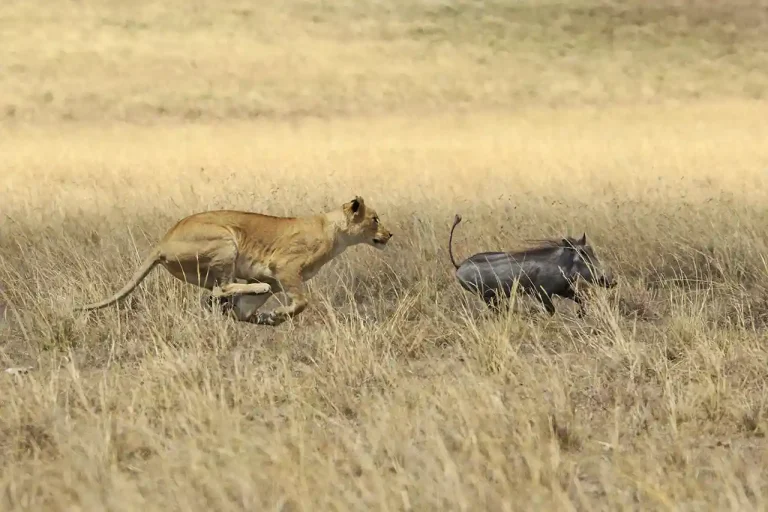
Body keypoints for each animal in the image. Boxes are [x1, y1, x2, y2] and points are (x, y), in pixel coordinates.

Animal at [75, 196, 393, 326]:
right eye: (375, 219)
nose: (389, 234)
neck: (334, 231)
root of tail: (161, 243)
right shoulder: (284, 269)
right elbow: (302, 302)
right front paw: (278, 315)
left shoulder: (269, 277)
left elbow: (247, 310)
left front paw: (268, 318)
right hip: (225, 241)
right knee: (222, 289)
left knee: (216, 295)